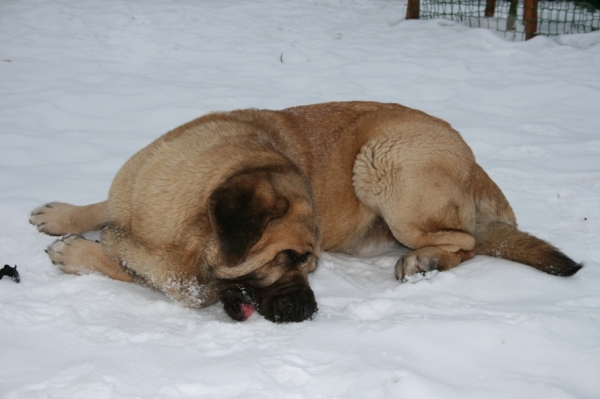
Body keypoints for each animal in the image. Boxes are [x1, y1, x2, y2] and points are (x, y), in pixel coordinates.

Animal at [30, 101, 584, 324]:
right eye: (289, 258)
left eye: (308, 264)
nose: (309, 310)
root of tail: (474, 162)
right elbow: (102, 207)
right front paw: (63, 216)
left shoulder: (184, 279)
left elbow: (134, 269)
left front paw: (77, 252)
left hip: (385, 163)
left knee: (465, 240)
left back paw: (422, 260)